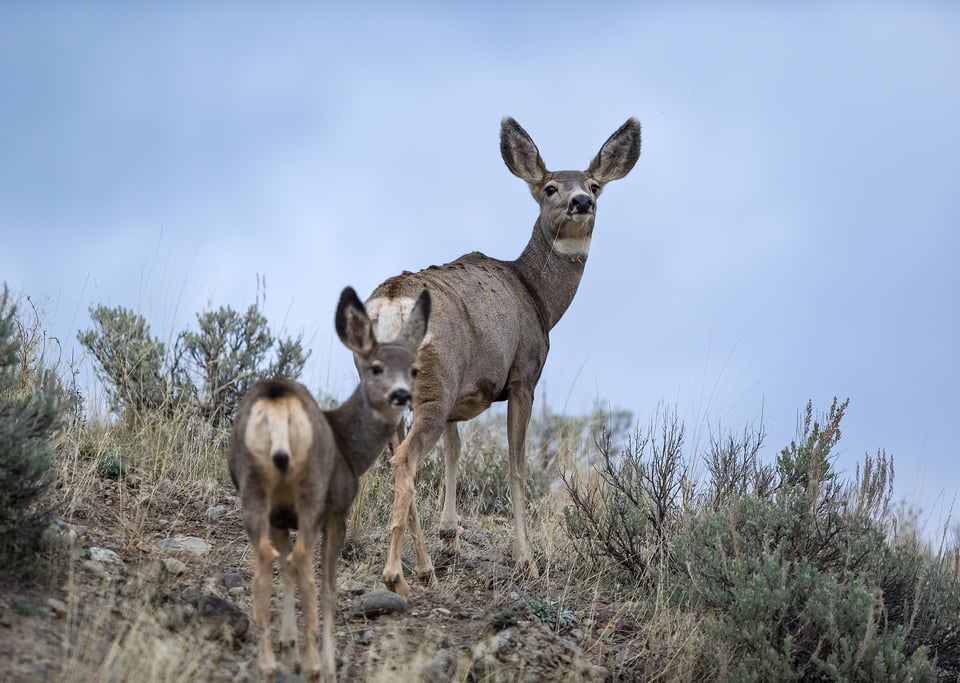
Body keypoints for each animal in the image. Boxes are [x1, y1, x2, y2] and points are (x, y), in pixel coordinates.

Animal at [227, 284, 430, 680]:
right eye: (376, 367)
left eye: (414, 370)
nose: (401, 394)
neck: (348, 446)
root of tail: (278, 403)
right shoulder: (337, 510)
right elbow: (327, 588)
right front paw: (319, 659)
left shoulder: (280, 518)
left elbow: (285, 572)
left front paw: (289, 647)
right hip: (311, 490)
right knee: (305, 563)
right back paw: (314, 666)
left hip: (253, 488)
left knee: (263, 565)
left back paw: (269, 664)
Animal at [364, 117, 640, 600]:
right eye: (550, 187)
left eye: (593, 184)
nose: (581, 202)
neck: (539, 299)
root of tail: (390, 303)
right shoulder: (523, 376)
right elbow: (517, 468)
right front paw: (526, 560)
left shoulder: (462, 396)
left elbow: (455, 451)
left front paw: (449, 535)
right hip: (433, 384)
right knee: (405, 459)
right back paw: (397, 573)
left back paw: (422, 568)